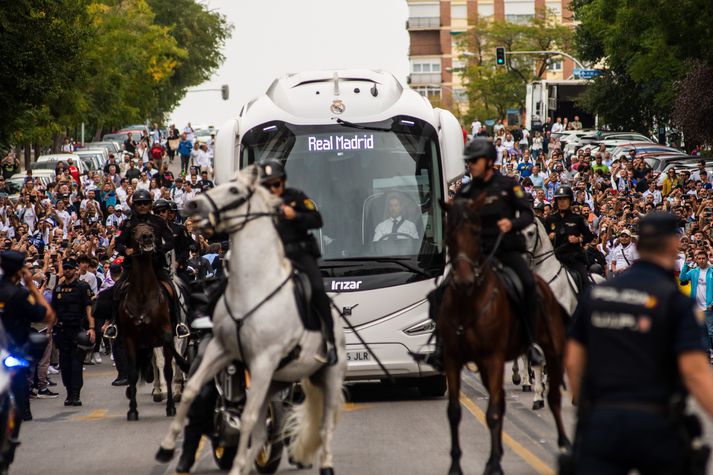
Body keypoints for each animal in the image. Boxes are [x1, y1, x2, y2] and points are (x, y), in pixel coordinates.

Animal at [117, 223, 185, 420]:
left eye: (152, 230)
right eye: (133, 231)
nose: (147, 239)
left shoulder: (173, 335)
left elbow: (174, 363)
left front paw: (176, 394)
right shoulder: (132, 338)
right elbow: (153, 365)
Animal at [155, 166, 344, 475]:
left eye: (234, 190)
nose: (192, 205)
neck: (253, 285)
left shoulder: (264, 360)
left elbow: (247, 417)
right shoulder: (223, 350)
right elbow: (194, 390)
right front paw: (167, 447)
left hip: (328, 375)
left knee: (324, 423)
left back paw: (325, 464)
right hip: (277, 380)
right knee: (262, 428)